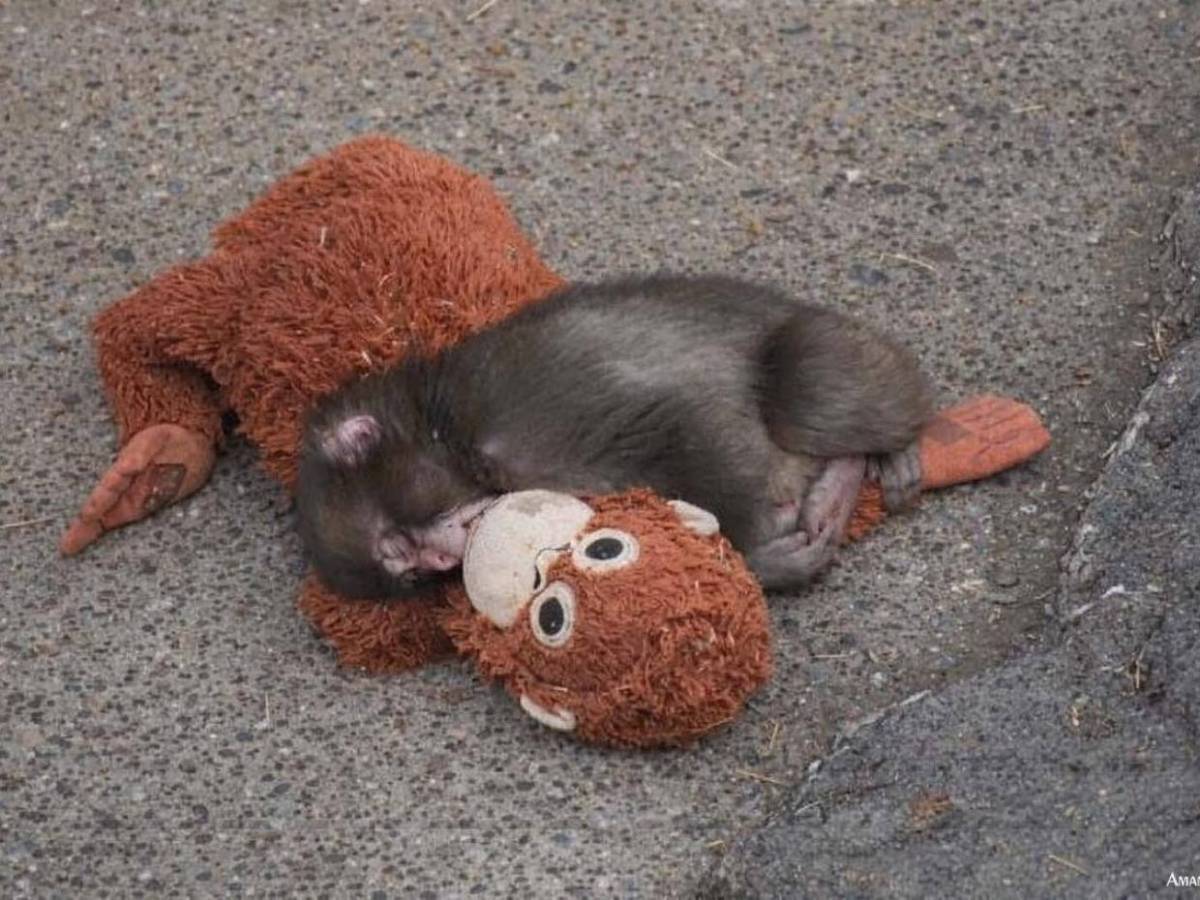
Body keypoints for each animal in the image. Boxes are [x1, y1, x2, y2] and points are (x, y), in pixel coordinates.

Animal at [294, 274, 934, 598]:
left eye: (400, 544)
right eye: (413, 571)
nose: (445, 558)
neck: (446, 430)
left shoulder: (519, 409)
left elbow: (685, 417)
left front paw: (755, 553)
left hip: (837, 350)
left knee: (806, 386)